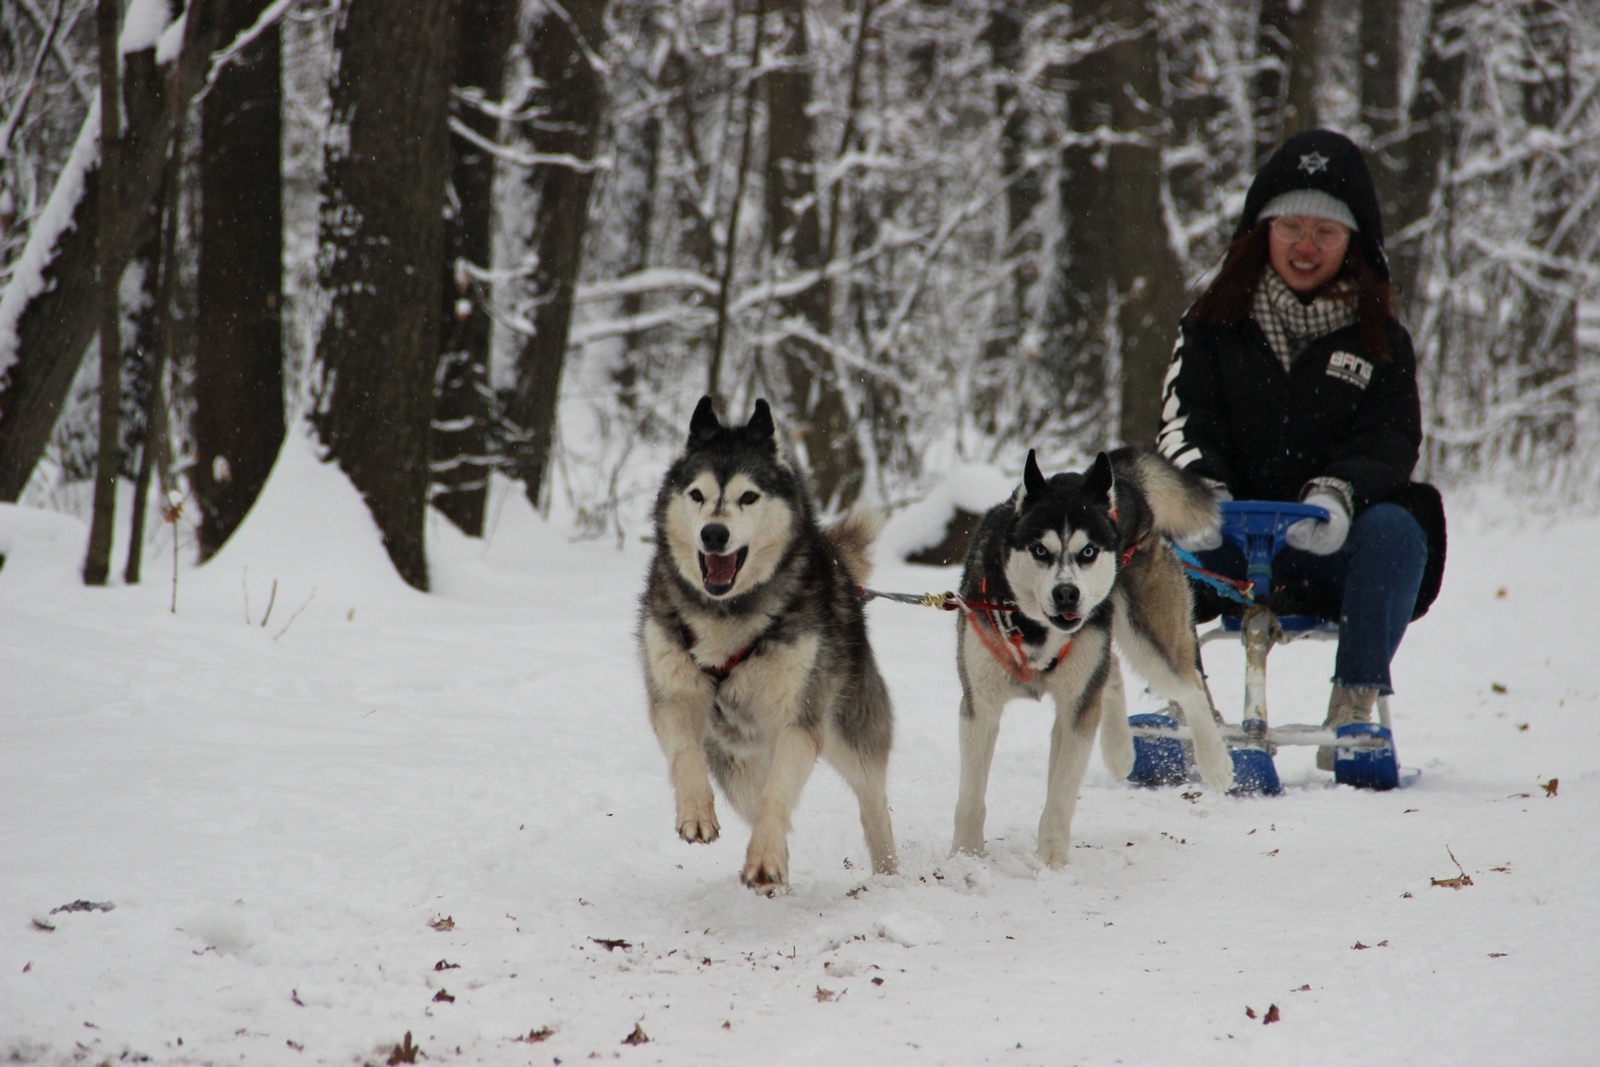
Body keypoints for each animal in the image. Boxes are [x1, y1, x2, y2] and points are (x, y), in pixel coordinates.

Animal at [633, 396, 896, 889]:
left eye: (748, 497)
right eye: (697, 495)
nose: (713, 533)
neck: (726, 615)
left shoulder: (798, 720)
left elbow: (778, 796)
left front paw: (766, 859)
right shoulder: (673, 696)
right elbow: (684, 752)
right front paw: (696, 812)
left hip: (848, 733)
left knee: (872, 799)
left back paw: (887, 871)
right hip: (734, 758)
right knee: (749, 797)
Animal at [947, 447, 1235, 863]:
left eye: (1088, 552)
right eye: (1040, 550)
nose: (1067, 593)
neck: (1035, 630)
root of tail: (1121, 486)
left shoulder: (1075, 709)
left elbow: (1060, 800)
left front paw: (1051, 862)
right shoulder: (980, 706)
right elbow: (970, 799)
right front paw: (965, 857)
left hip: (1149, 643)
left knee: (1191, 687)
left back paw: (1215, 762)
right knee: (1111, 668)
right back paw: (1118, 751)